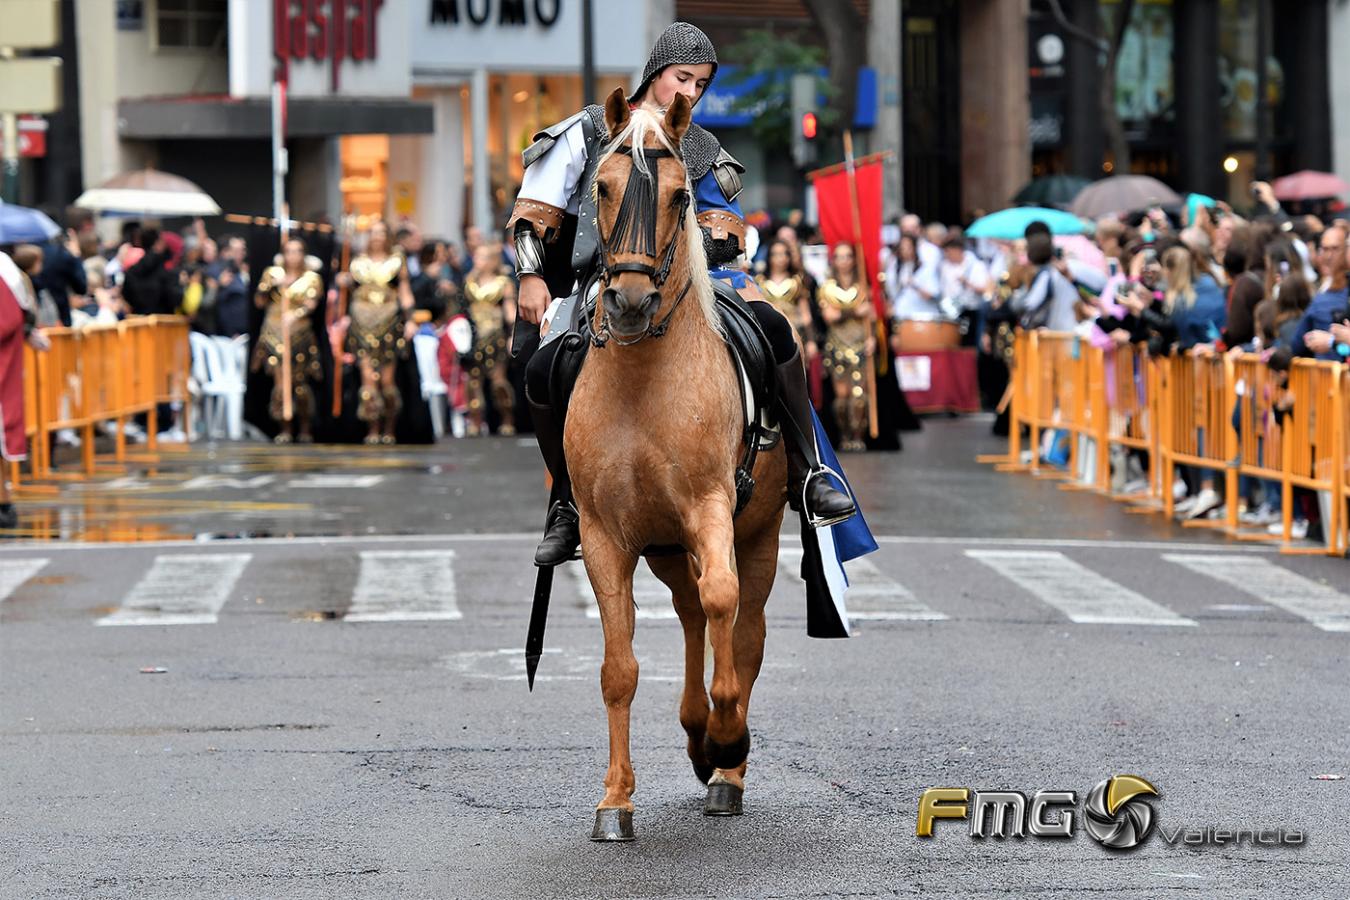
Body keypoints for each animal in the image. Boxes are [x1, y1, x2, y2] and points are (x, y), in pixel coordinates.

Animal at [561, 87, 788, 841]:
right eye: (601, 187)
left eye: (681, 196)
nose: (629, 303)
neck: (643, 381)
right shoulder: (605, 534)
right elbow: (619, 668)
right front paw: (614, 801)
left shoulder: (711, 507)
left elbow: (724, 606)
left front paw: (728, 738)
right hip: (665, 545)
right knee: (691, 614)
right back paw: (696, 733)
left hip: (758, 533)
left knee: (742, 627)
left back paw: (725, 763)